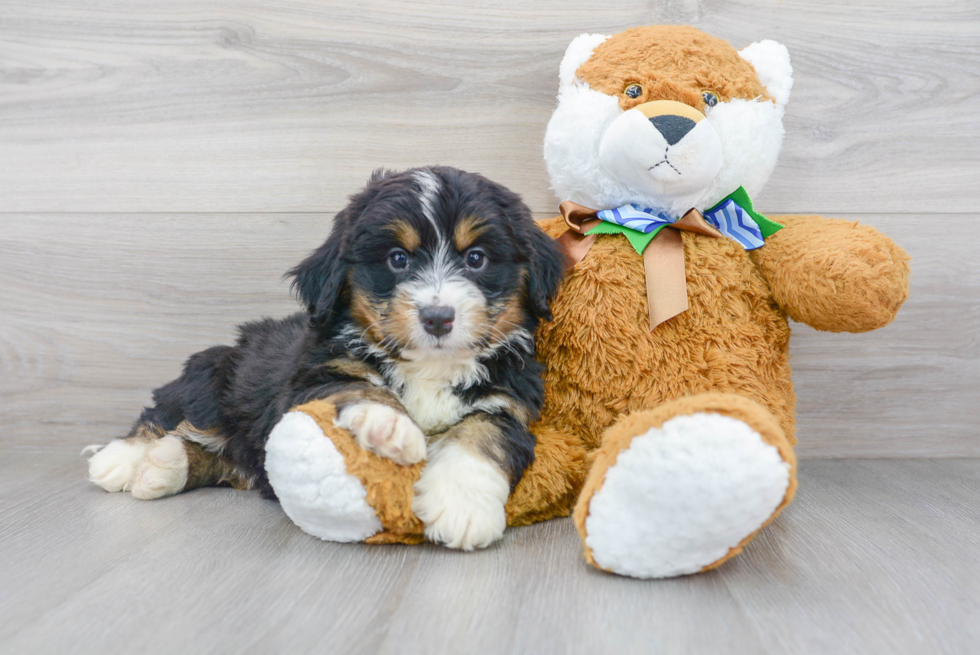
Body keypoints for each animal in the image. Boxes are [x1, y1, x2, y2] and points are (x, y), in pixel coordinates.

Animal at [85, 167, 568, 552]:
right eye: (397, 259)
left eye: (476, 258)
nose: (437, 317)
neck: (429, 366)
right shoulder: (314, 375)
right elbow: (356, 385)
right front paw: (388, 425)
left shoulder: (509, 403)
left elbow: (481, 436)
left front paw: (461, 506)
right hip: (209, 374)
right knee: (167, 414)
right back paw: (122, 459)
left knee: (229, 462)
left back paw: (166, 466)